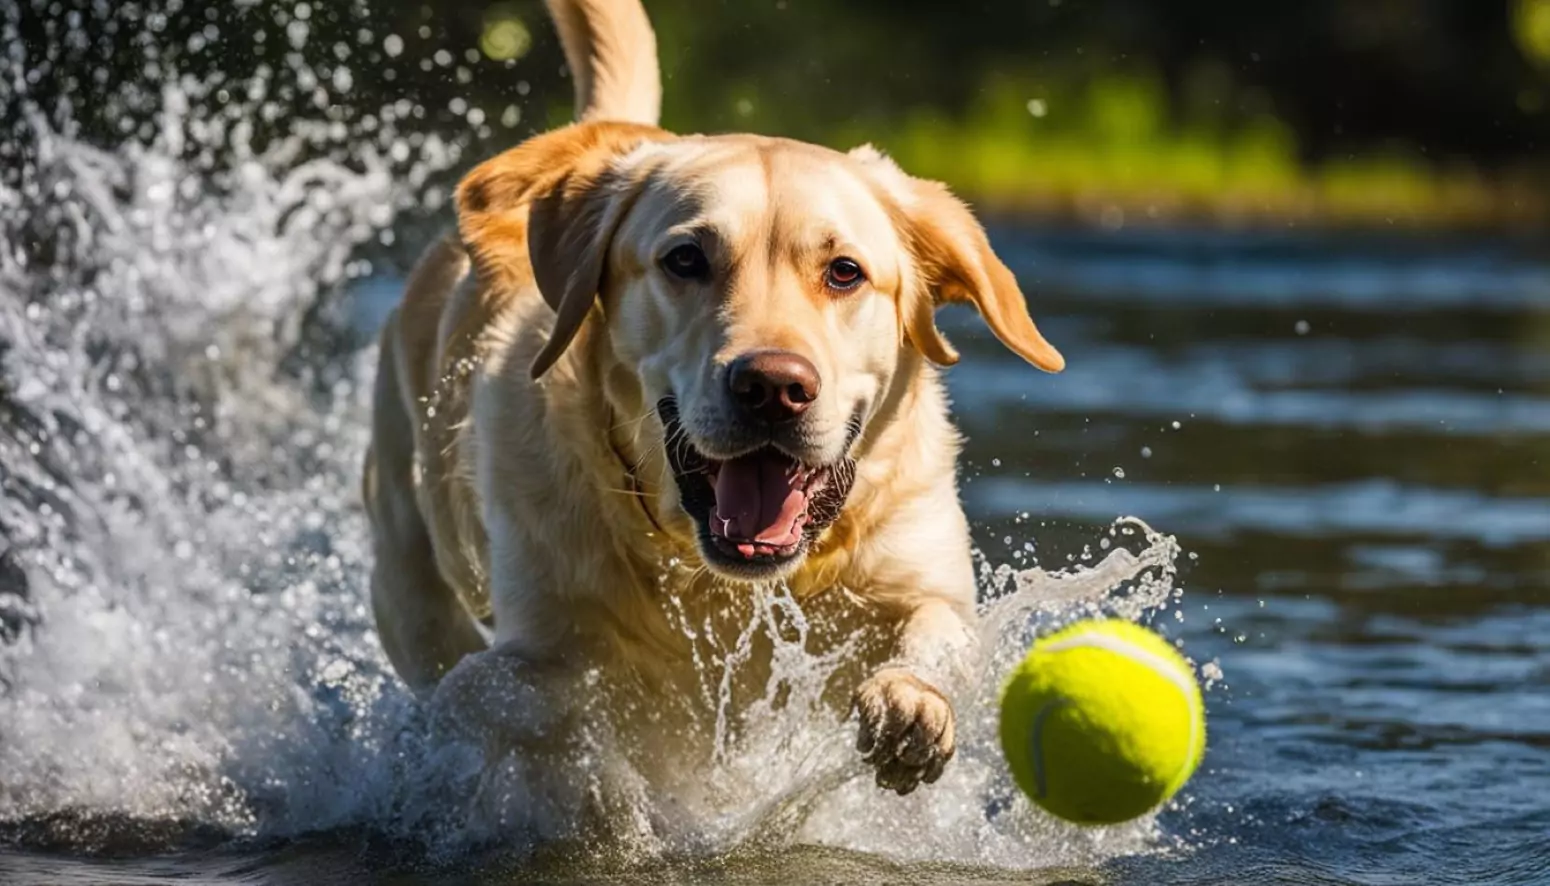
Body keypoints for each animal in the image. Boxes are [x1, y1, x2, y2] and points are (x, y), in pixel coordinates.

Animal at [362, 0, 1066, 805]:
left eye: (845, 272)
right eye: (686, 259)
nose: (774, 387)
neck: (717, 583)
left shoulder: (922, 567)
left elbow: (936, 633)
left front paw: (908, 707)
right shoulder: (526, 642)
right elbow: (524, 698)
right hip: (406, 565)